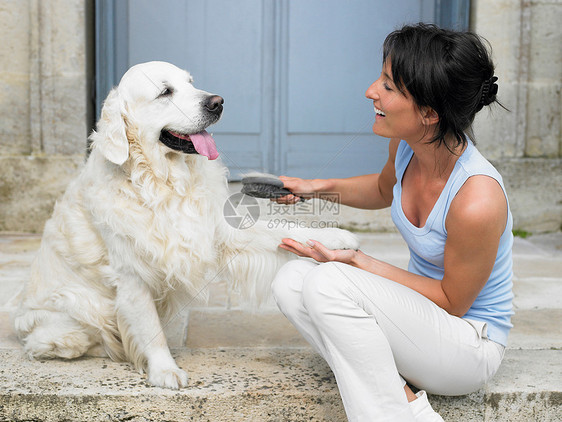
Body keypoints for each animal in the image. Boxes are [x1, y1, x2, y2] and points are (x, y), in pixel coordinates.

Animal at [12, 61, 358, 390]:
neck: (161, 182)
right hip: (74, 314)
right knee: (71, 339)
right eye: (165, 92)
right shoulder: (132, 273)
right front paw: (164, 370)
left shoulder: (216, 227)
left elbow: (280, 228)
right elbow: (148, 327)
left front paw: (334, 237)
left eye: (191, 82)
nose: (218, 102)